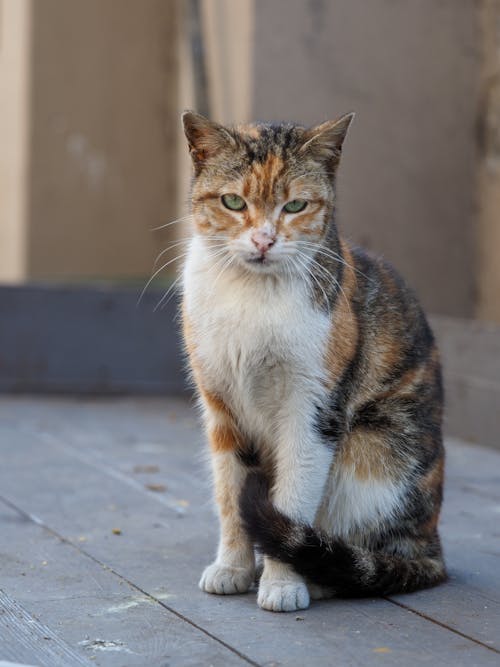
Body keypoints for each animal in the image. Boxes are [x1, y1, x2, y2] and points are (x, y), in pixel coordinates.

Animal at [182, 112, 448, 612]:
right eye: (233, 201)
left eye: (295, 206)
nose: (264, 240)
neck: (252, 296)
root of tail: (432, 545)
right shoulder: (220, 403)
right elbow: (230, 495)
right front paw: (232, 568)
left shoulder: (312, 409)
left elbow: (292, 500)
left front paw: (283, 585)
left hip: (370, 454)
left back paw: (323, 576)